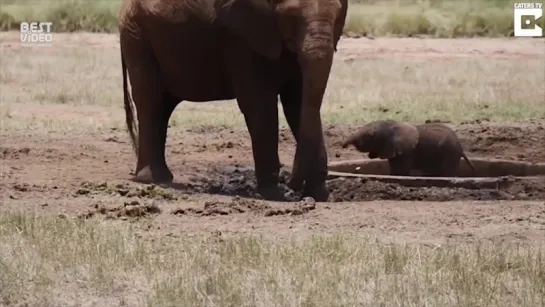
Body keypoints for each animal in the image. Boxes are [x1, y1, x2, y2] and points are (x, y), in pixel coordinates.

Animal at [119, 0, 348, 202]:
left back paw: (163, 178)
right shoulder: (241, 38)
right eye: (290, 17)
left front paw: (319, 195)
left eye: (338, 16)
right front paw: (275, 195)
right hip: (136, 36)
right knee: (151, 102)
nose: (293, 184)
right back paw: (152, 179)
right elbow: (260, 105)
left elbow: (297, 102)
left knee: (163, 108)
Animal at [342, 121, 474, 178]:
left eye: (370, 136)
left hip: (450, 153)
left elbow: (399, 171)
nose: (342, 146)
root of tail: (461, 148)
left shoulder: (405, 152)